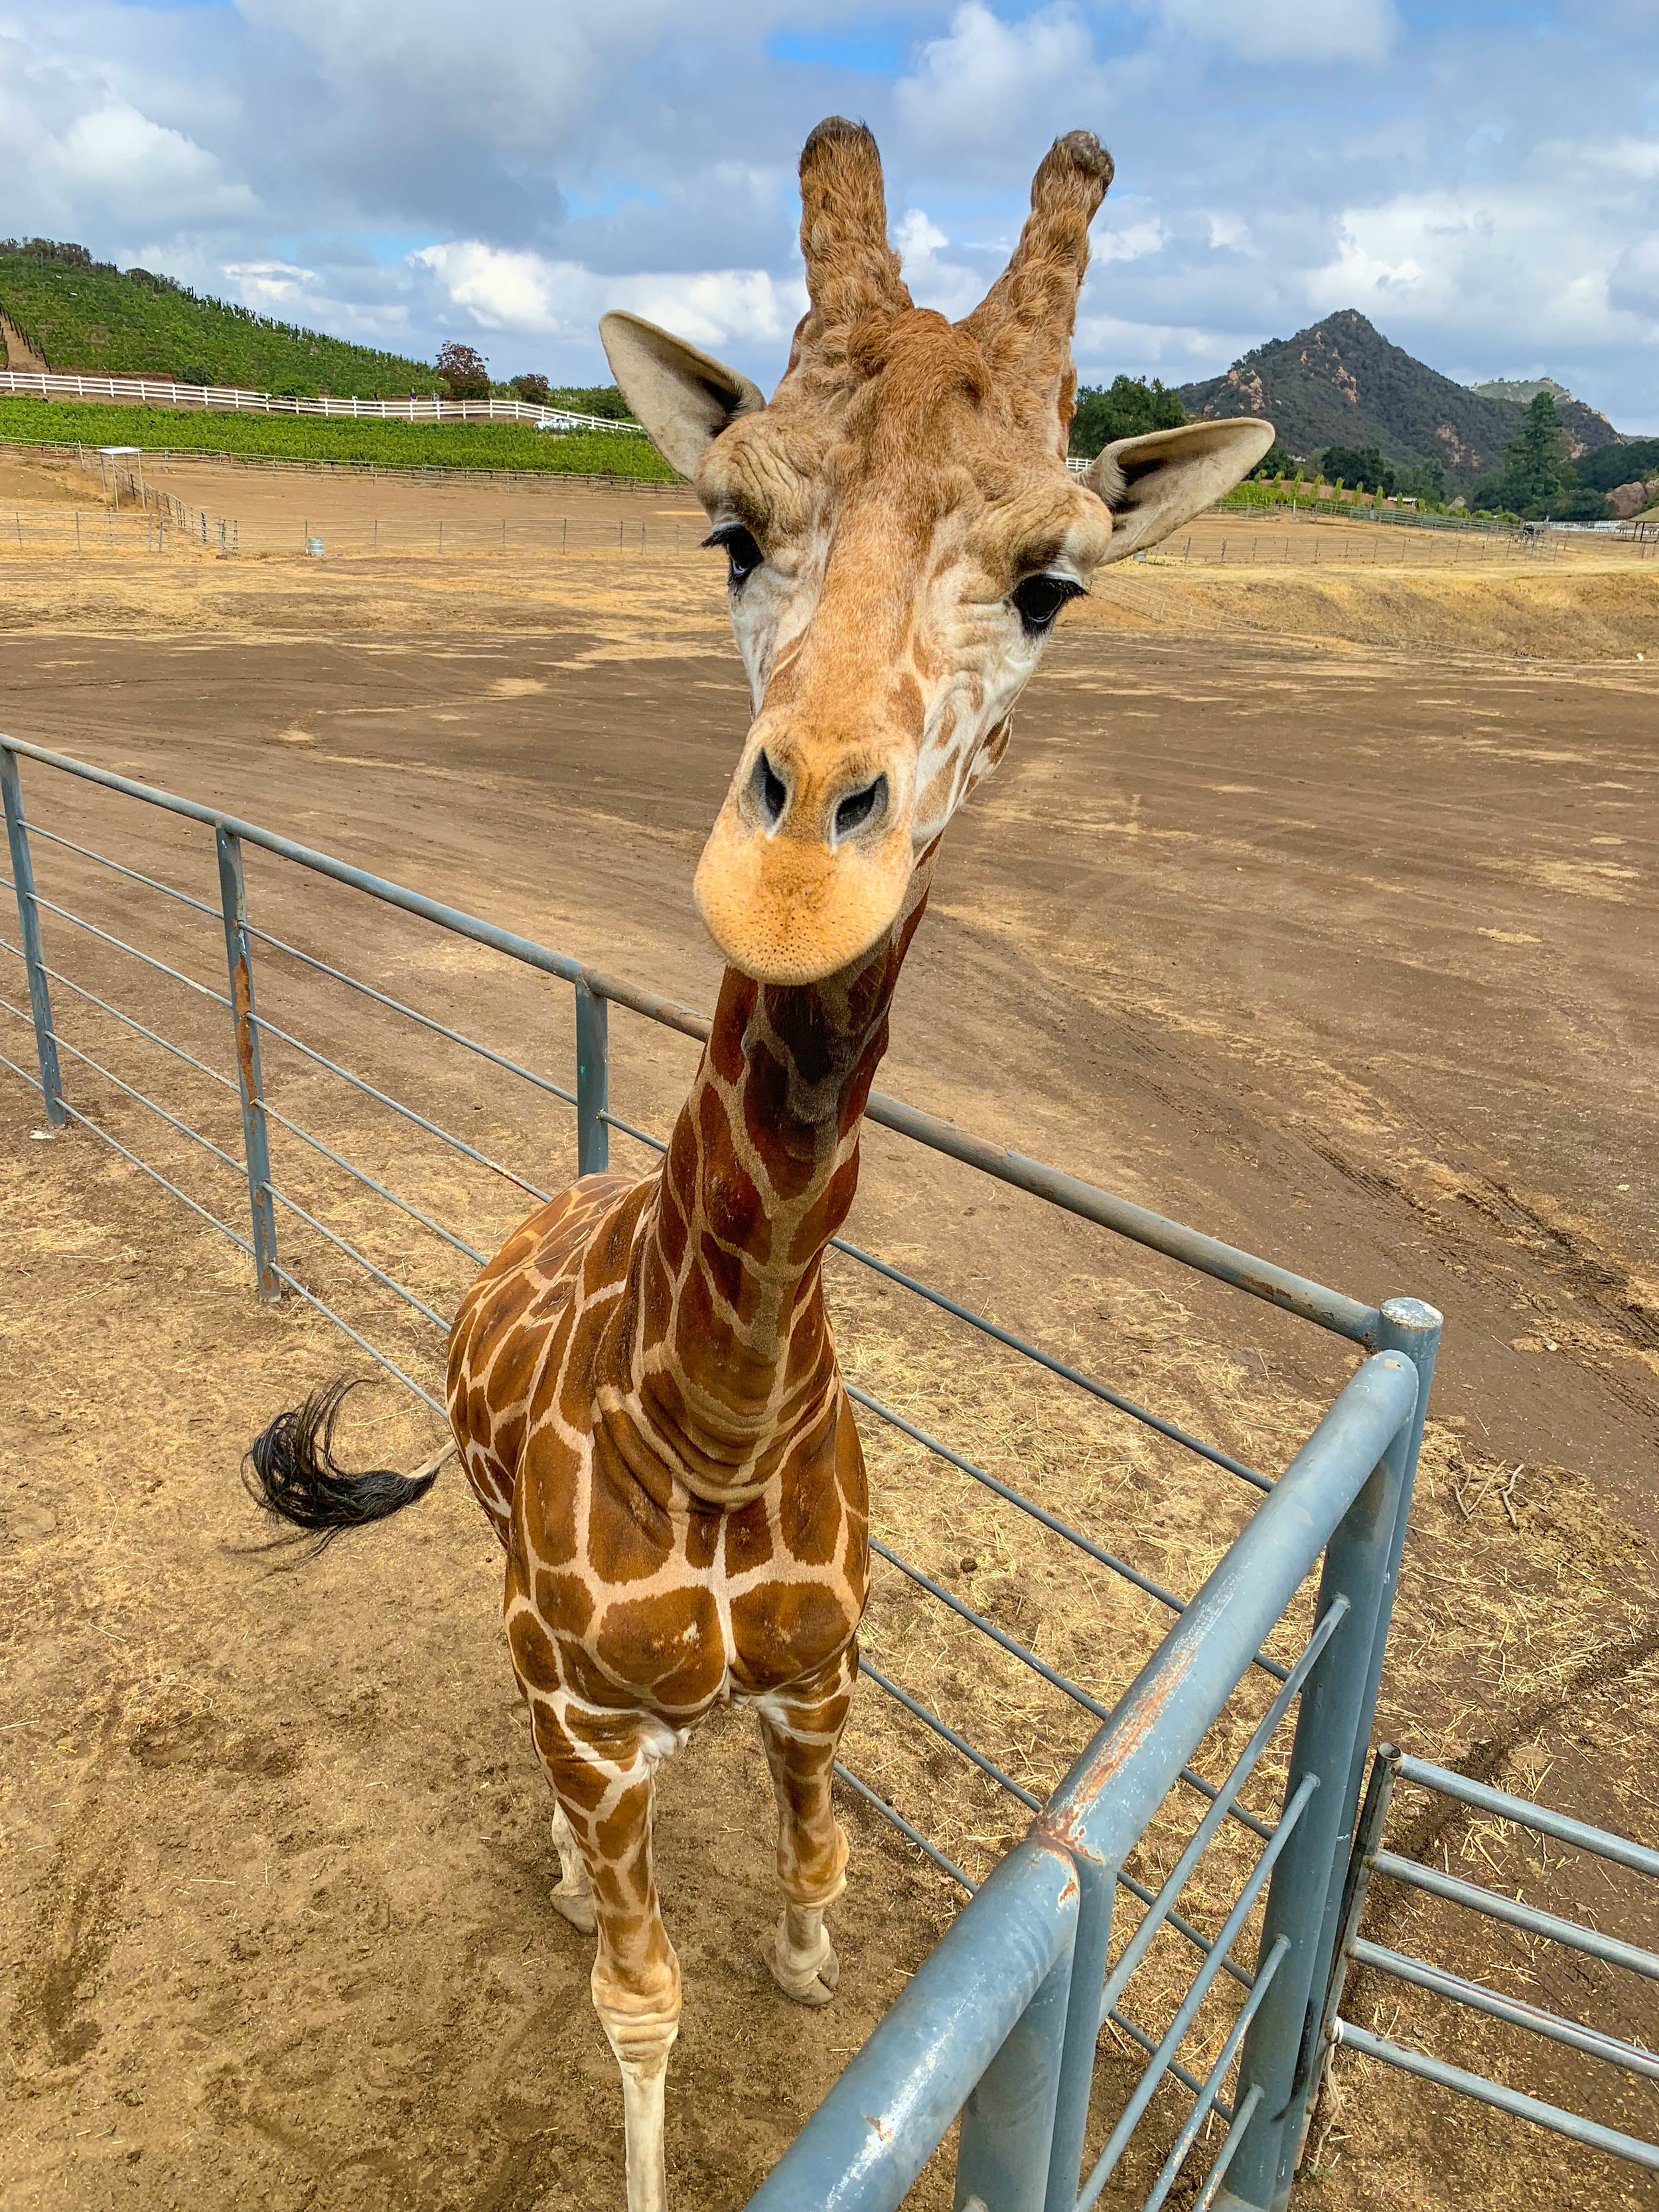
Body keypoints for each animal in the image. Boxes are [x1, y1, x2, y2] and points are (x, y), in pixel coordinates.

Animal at [243, 116, 1274, 2212]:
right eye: (726, 529)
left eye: (1055, 580)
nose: (790, 876)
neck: (710, 1423)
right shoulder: (580, 1690)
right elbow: (641, 2003)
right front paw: (610, 1932)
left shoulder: (822, 1671)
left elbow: (820, 1872)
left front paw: (801, 1956)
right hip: (519, 1619)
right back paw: (567, 1874)